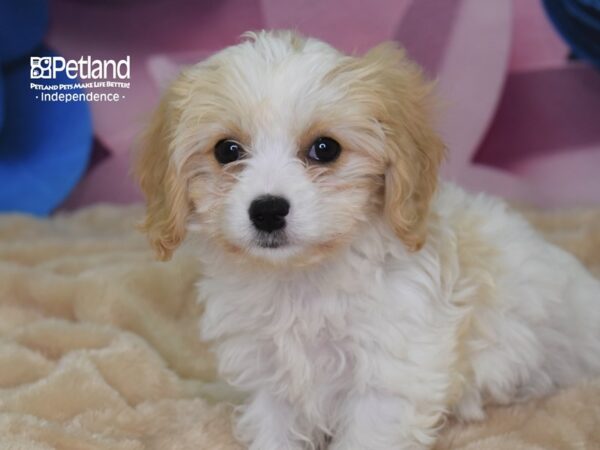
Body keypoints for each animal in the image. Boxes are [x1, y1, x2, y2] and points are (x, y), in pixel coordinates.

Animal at [135, 29, 600, 448]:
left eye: (325, 149)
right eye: (227, 151)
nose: (267, 210)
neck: (300, 281)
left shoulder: (389, 377)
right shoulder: (271, 377)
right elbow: (275, 431)